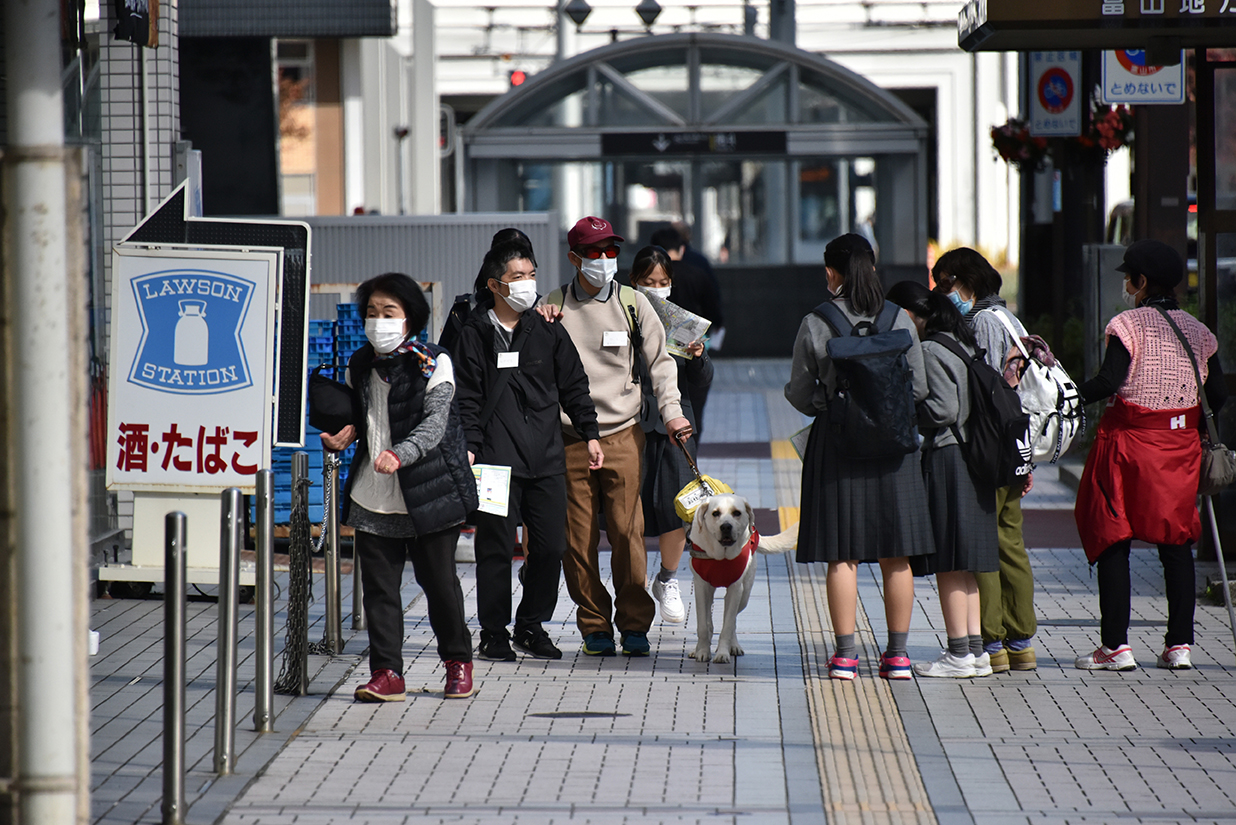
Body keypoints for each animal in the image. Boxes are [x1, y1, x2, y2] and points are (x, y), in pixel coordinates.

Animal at [692, 497, 795, 662]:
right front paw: (702, 651)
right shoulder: (701, 587)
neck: (721, 557)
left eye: (736, 513)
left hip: (744, 595)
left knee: (732, 621)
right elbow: (702, 625)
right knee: (709, 620)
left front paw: (722, 653)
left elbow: (728, 625)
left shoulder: (736, 589)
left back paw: (734, 646)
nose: (726, 526)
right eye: (715, 513)